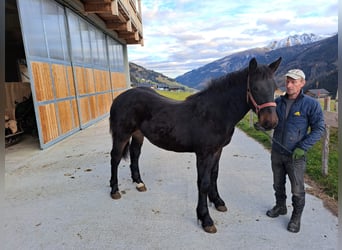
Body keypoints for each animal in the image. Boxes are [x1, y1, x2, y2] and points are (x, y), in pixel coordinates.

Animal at [109, 57, 280, 233]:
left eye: (275, 88)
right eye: (255, 88)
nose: (270, 122)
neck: (215, 113)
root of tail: (119, 98)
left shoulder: (217, 150)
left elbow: (214, 175)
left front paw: (217, 201)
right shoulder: (204, 154)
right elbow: (203, 183)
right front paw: (205, 219)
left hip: (137, 134)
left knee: (135, 155)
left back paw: (139, 183)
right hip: (122, 135)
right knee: (115, 158)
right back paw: (115, 190)